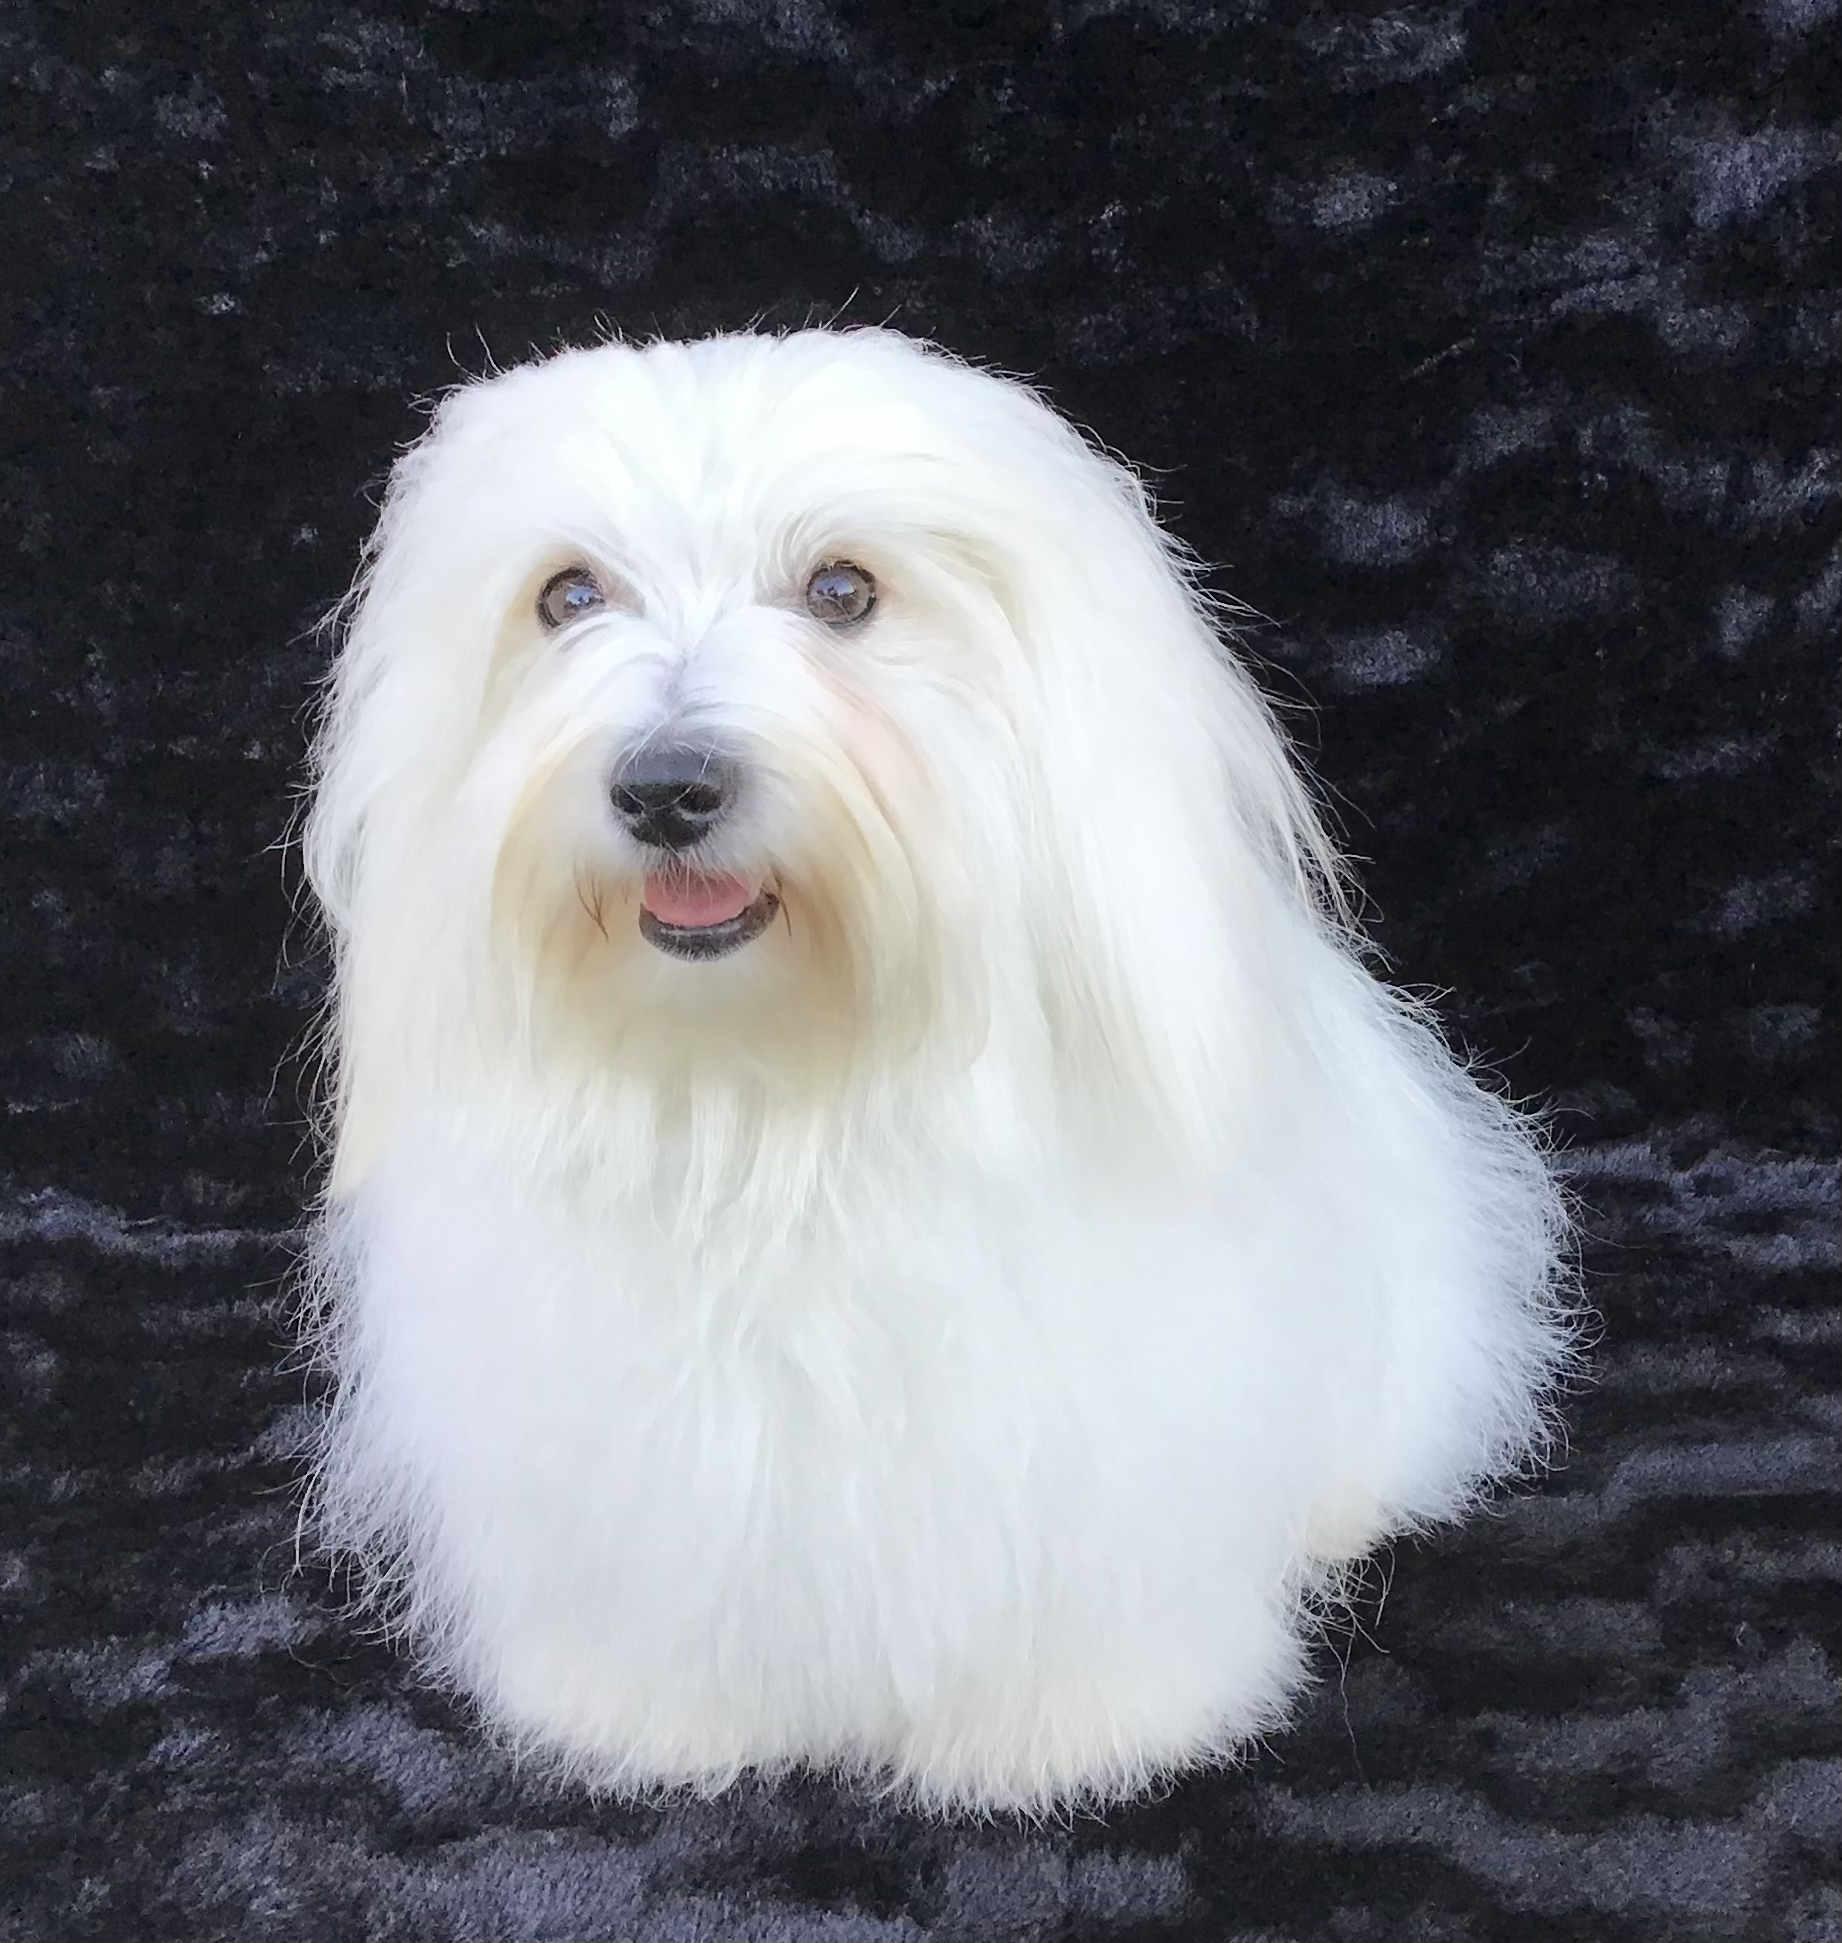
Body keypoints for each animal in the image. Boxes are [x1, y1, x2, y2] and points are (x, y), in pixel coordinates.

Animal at [300, 325, 1572, 1814]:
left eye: (843, 589)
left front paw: (1068, 1726)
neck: (780, 1093)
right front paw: (652, 1711)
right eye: (567, 594)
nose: (666, 785)